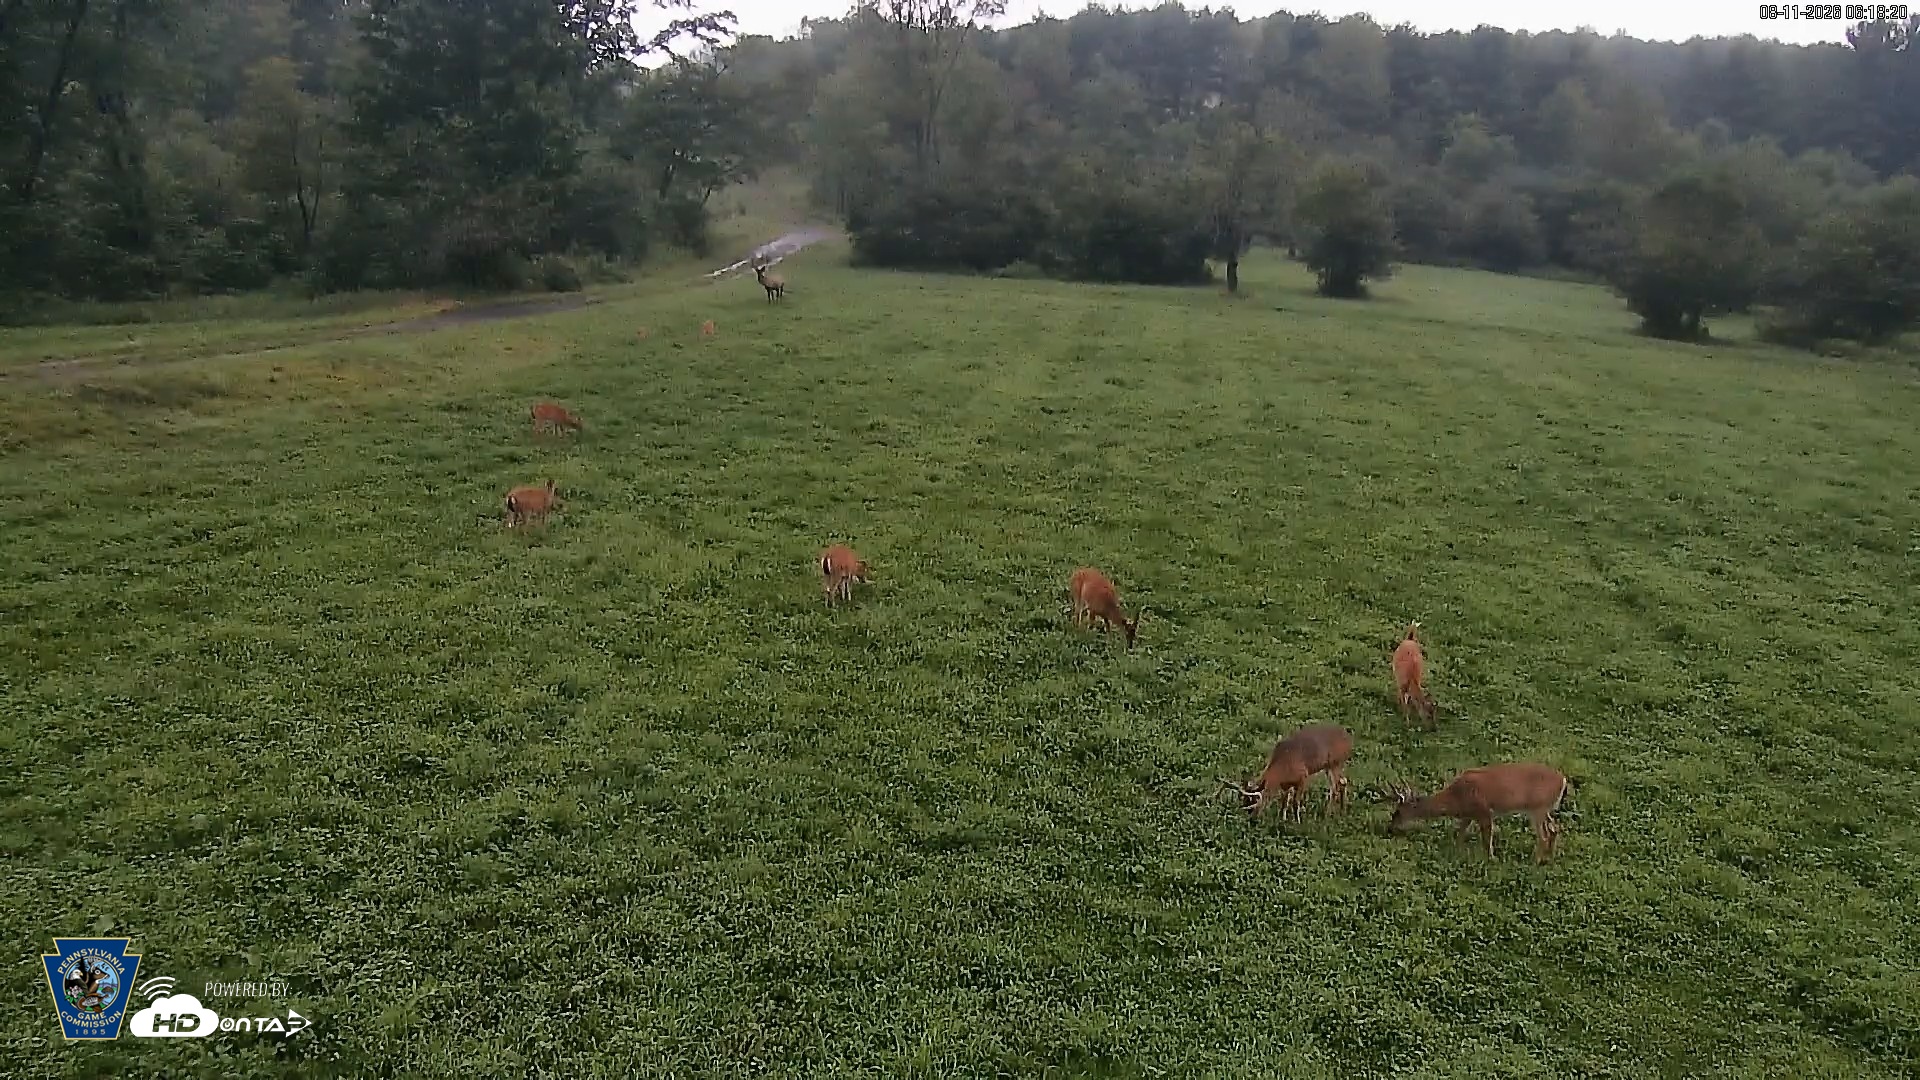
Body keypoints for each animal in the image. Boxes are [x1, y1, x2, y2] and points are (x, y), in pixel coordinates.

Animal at [1219, 724, 1353, 823]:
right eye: (1244, 802)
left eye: (1255, 802)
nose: (1252, 820)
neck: (1282, 766)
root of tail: (1348, 739)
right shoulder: (1285, 784)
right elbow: (1284, 802)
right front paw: (1282, 819)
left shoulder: (1303, 777)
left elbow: (1295, 802)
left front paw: (1297, 822)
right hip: (1330, 766)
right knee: (1343, 781)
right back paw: (1342, 811)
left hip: (1335, 763)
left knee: (1335, 787)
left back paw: (1327, 815)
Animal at [1386, 762, 1572, 863]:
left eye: (1397, 812)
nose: (1390, 829)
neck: (1456, 798)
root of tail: (1563, 780)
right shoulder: (1469, 814)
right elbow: (1460, 833)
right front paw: (1456, 850)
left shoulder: (1484, 811)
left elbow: (1486, 838)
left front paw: (1491, 859)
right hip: (1544, 808)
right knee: (1555, 828)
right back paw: (1549, 858)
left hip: (1537, 807)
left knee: (1544, 835)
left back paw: (1535, 861)